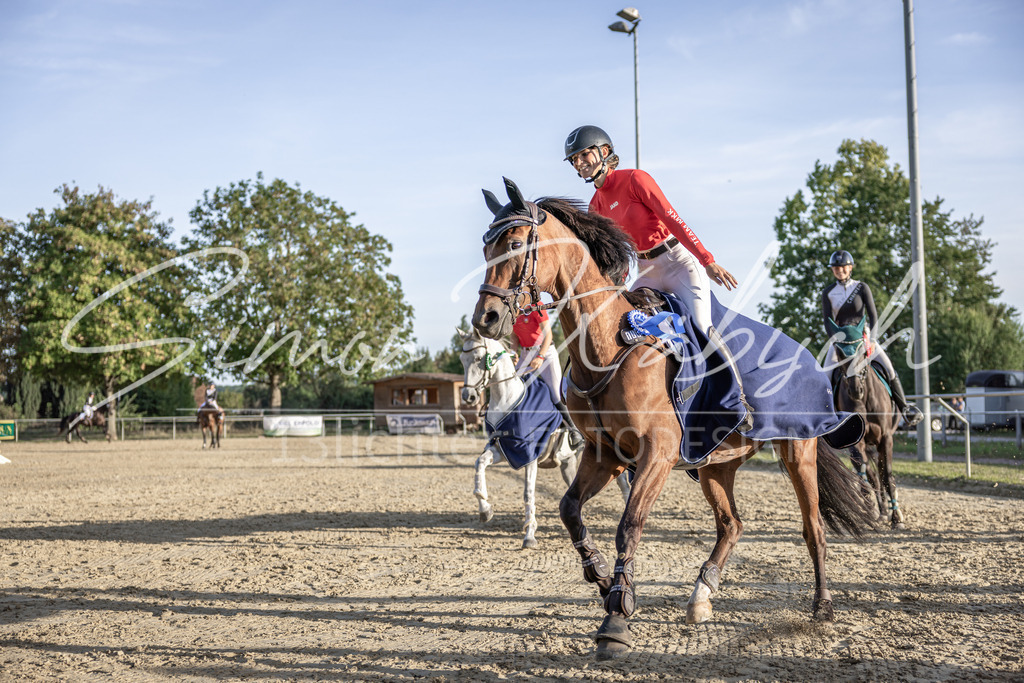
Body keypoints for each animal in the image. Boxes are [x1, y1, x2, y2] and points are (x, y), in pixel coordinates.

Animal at [459, 327, 630, 549]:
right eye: (462, 359)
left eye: (479, 358)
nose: (468, 396)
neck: (507, 399)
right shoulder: (505, 448)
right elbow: (479, 463)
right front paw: (485, 509)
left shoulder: (529, 455)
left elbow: (528, 492)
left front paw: (529, 535)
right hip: (569, 462)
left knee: (624, 483)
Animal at [827, 316, 904, 529]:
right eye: (839, 353)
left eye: (862, 351)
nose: (855, 390)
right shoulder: (857, 440)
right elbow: (865, 475)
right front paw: (870, 510)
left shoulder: (886, 437)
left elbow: (888, 475)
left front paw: (896, 518)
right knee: (873, 476)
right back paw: (881, 511)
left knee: (881, 475)